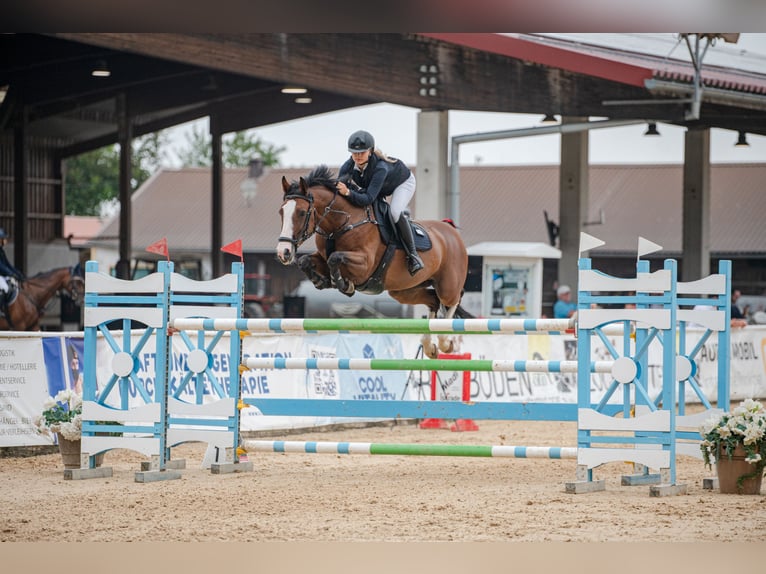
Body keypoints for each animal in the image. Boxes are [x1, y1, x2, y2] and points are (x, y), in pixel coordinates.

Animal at [277, 165, 471, 358]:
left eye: (302, 212)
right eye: (281, 212)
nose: (283, 252)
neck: (343, 222)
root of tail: (450, 229)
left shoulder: (364, 265)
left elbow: (335, 258)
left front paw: (343, 285)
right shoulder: (323, 257)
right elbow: (305, 261)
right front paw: (321, 281)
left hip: (447, 286)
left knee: (452, 300)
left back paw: (445, 342)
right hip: (404, 290)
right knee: (433, 301)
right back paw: (429, 346)